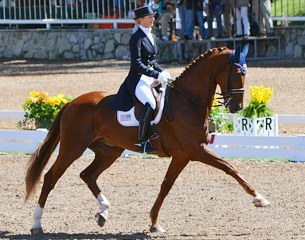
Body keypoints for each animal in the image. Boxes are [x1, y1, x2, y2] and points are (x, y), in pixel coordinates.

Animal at [25, 45, 268, 234]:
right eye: (236, 72)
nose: (236, 107)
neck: (188, 101)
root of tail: (72, 103)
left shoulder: (182, 155)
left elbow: (166, 186)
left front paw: (154, 223)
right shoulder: (195, 150)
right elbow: (229, 167)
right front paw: (259, 198)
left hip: (109, 150)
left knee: (87, 175)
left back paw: (103, 213)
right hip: (73, 147)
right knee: (50, 177)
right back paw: (36, 224)